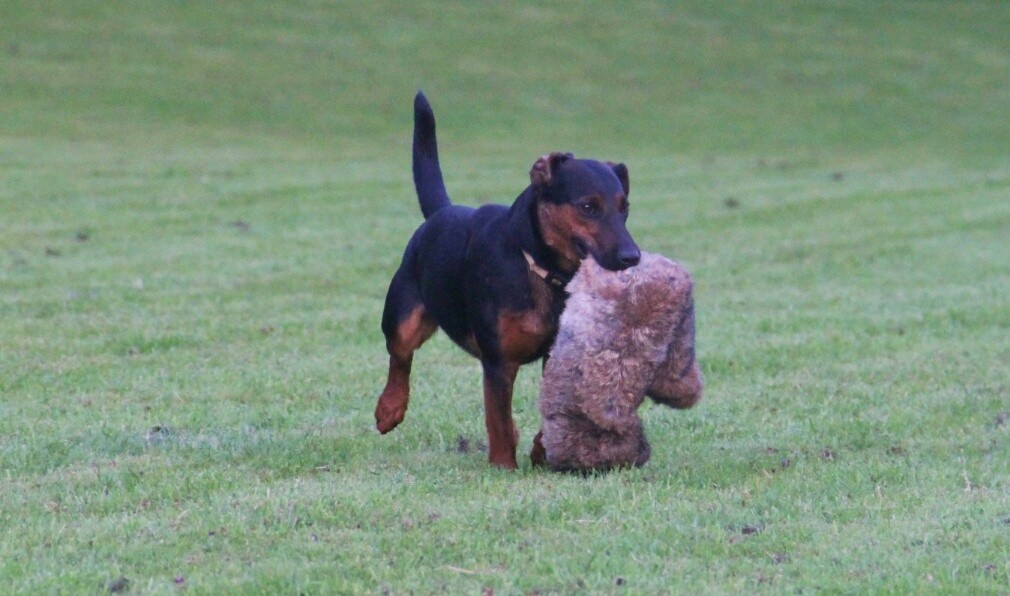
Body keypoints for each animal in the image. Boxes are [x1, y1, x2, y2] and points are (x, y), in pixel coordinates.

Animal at [371, 90, 638, 468]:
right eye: (588, 206)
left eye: (624, 206)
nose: (633, 256)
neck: (543, 272)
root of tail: (441, 212)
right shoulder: (498, 362)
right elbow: (496, 416)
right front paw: (503, 466)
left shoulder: (559, 357)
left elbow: (550, 410)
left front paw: (544, 451)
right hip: (403, 317)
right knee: (400, 356)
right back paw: (389, 408)